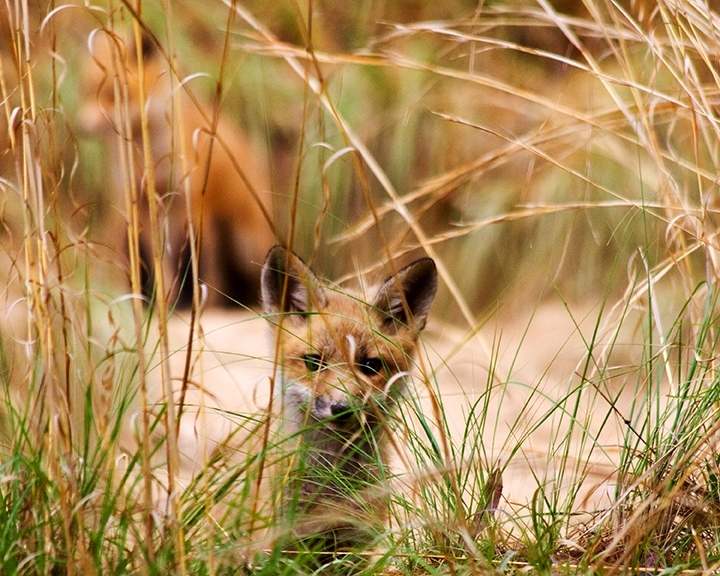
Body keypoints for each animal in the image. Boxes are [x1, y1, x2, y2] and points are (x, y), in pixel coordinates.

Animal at [79, 29, 274, 307]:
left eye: (112, 94)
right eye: (87, 92)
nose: (82, 127)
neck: (150, 158)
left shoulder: (192, 205)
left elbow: (202, 268)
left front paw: (199, 304)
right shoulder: (145, 204)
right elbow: (163, 266)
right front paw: (166, 301)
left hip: (243, 242)